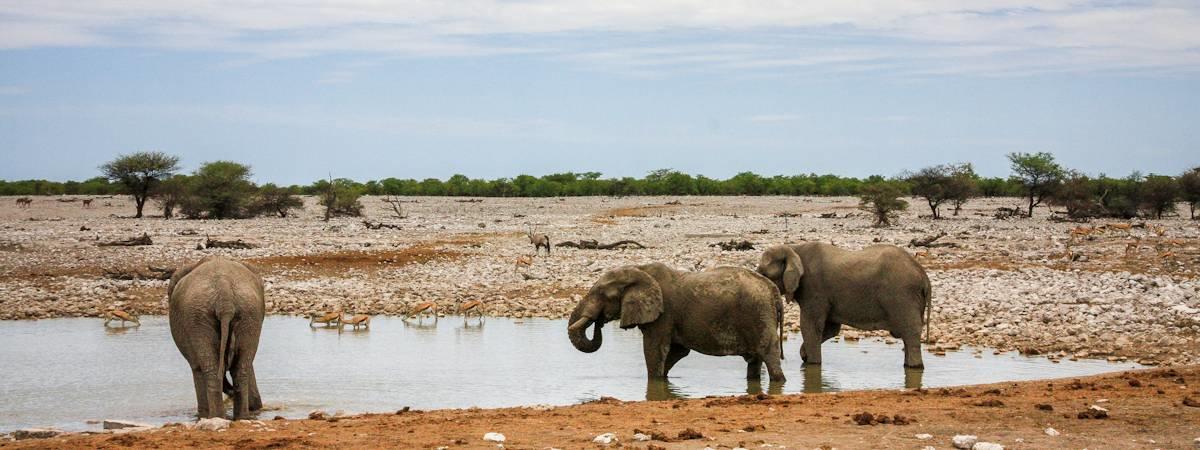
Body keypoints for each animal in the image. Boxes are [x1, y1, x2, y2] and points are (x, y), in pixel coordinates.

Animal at [166, 256, 262, 422]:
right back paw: (242, 418)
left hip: (198, 317)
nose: (256, 405)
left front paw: (202, 416)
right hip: (249, 313)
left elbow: (196, 367)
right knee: (241, 368)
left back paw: (213, 417)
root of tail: (224, 292)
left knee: (208, 369)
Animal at [568, 264, 787, 384]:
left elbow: (655, 350)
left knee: (769, 354)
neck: (639, 270)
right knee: (755, 360)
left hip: (759, 313)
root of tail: (774, 291)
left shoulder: (663, 314)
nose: (599, 322)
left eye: (602, 294)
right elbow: (676, 352)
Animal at [753, 244, 931, 367]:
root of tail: (923, 275)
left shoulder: (814, 289)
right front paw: (805, 356)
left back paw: (914, 367)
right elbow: (831, 329)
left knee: (910, 333)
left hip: (903, 296)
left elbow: (810, 325)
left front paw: (812, 363)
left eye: (764, 273)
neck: (794, 248)